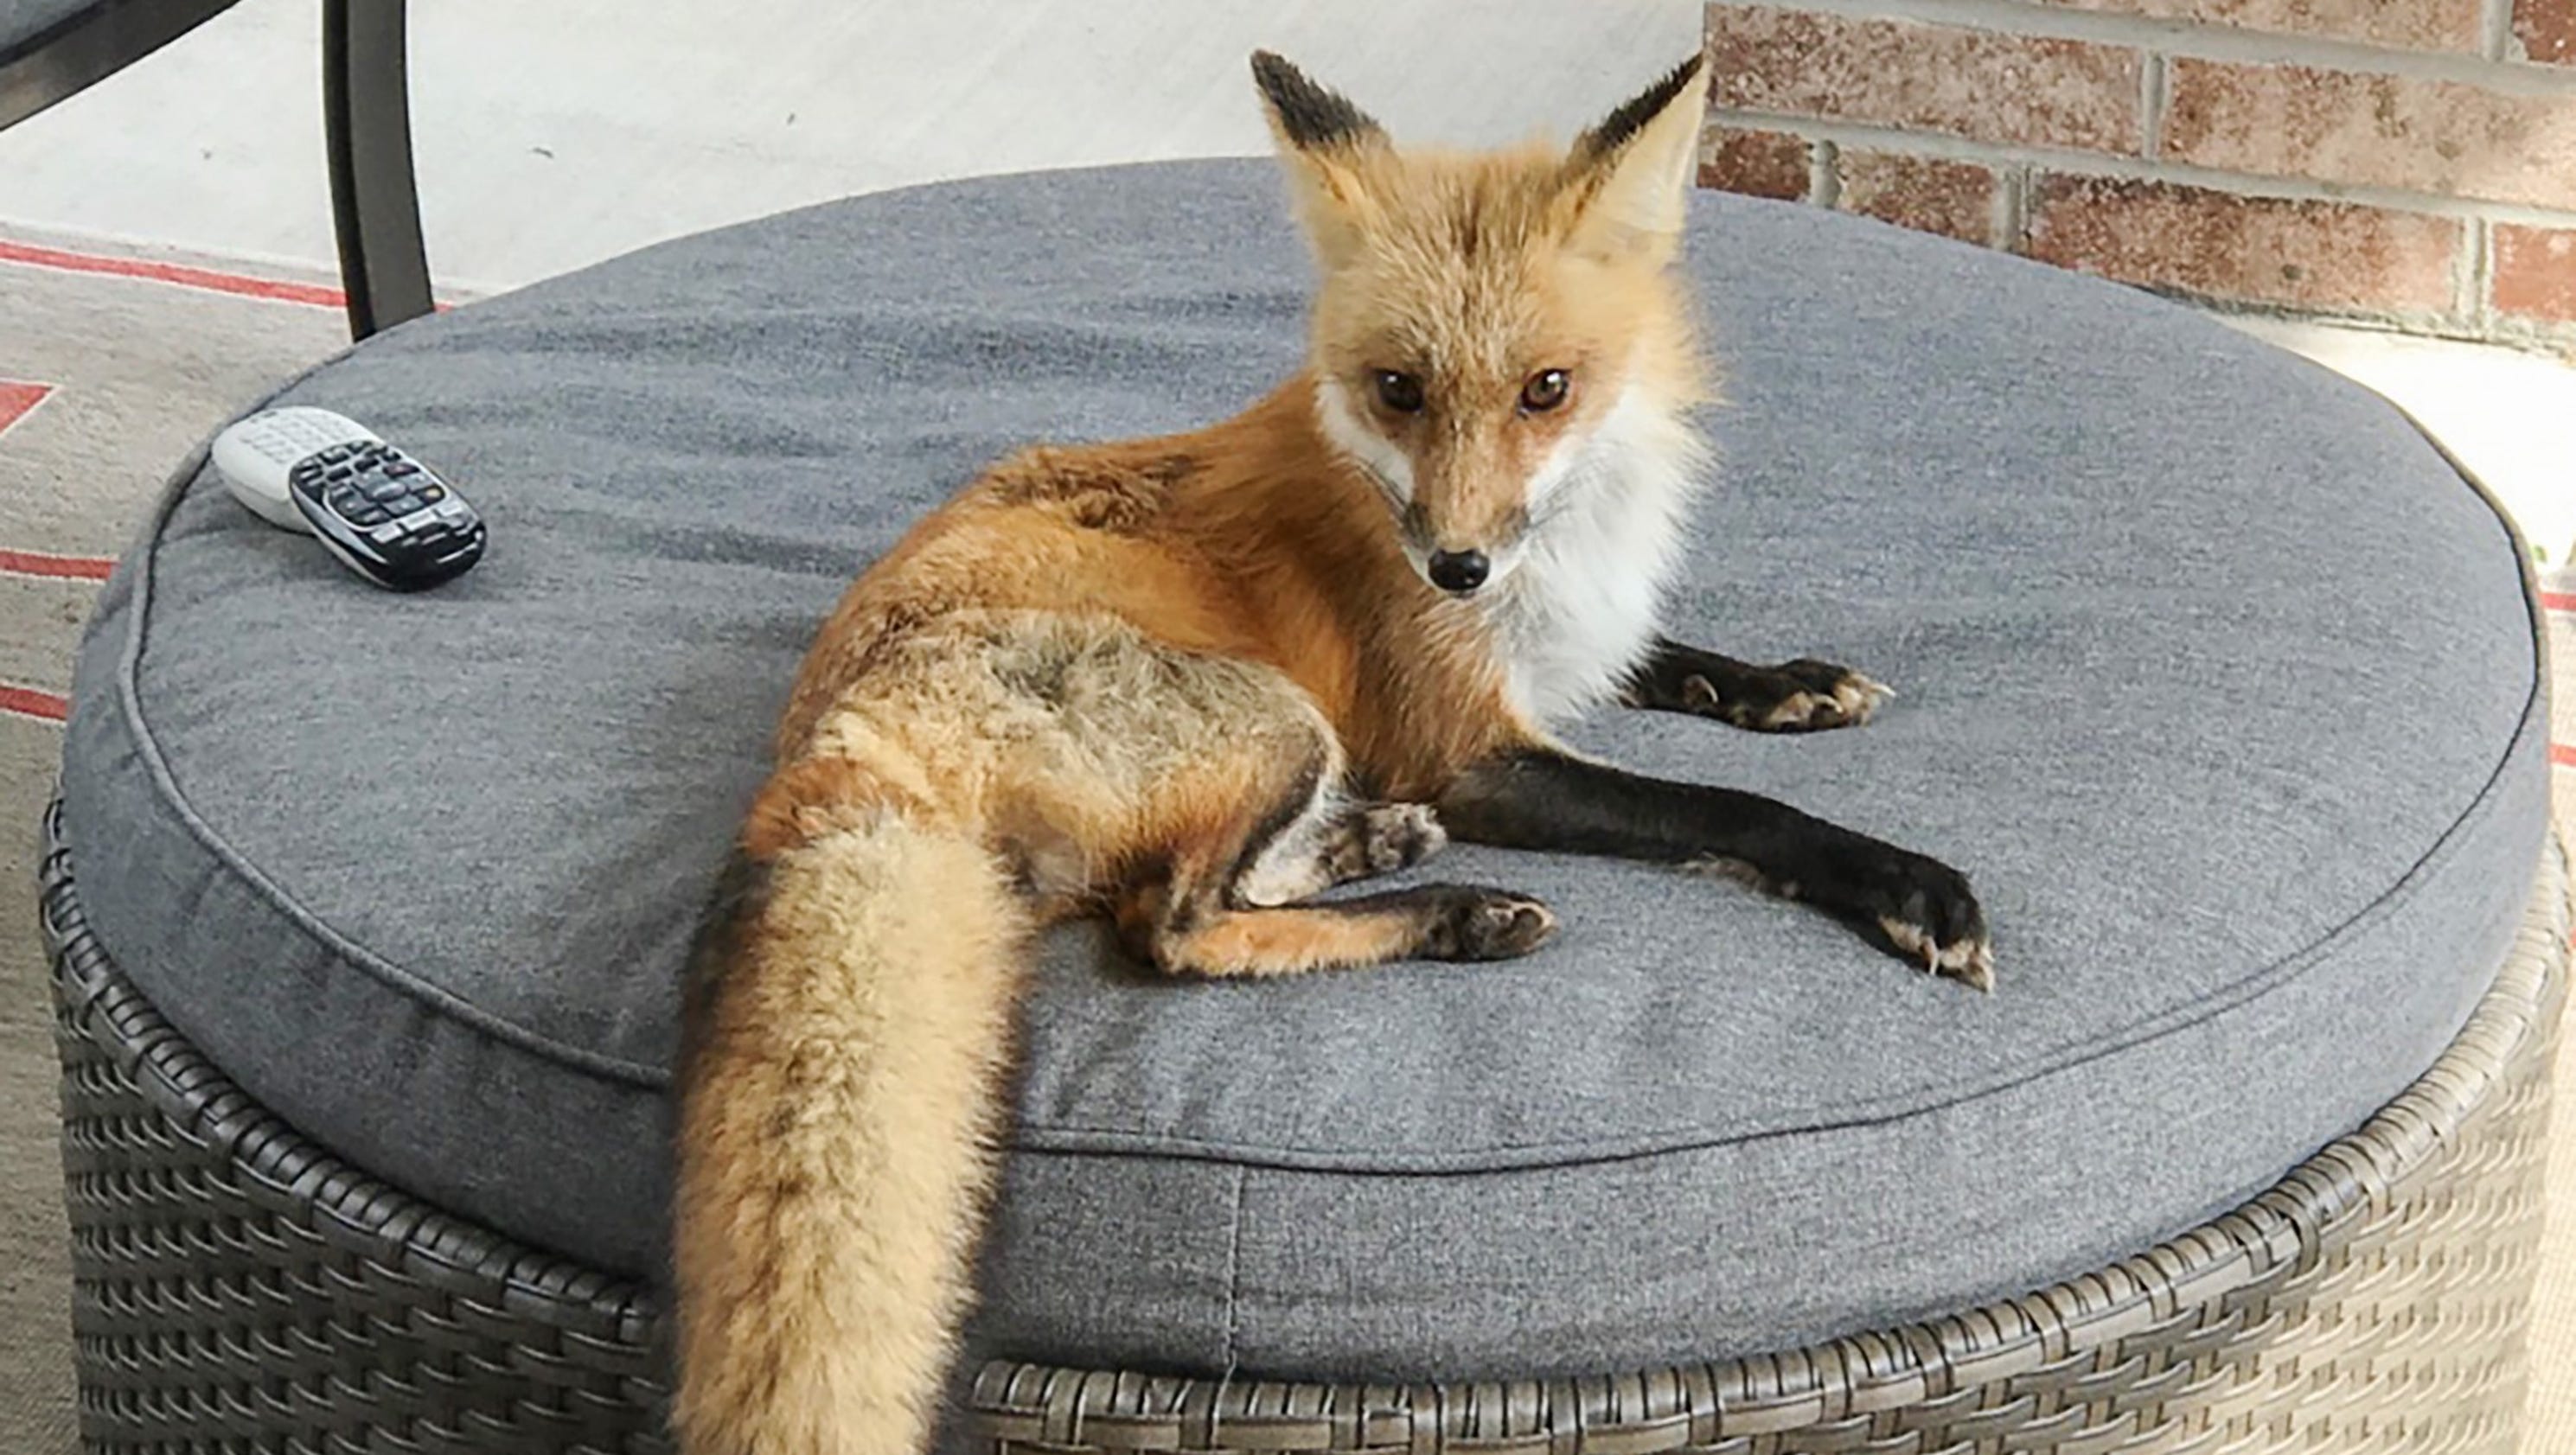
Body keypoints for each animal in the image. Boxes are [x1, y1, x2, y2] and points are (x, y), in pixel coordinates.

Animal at [672, 49, 1992, 1455]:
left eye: (1546, 389)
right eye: (1398, 388)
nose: (1454, 566)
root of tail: (834, 748)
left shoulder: (1550, 654)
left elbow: (1675, 662)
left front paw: (1790, 684)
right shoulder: (1463, 748)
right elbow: (1729, 809)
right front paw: (1901, 883)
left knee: (1223, 885)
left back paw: (1383, 846)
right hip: (1279, 719)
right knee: (1175, 927)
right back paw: (1452, 910)